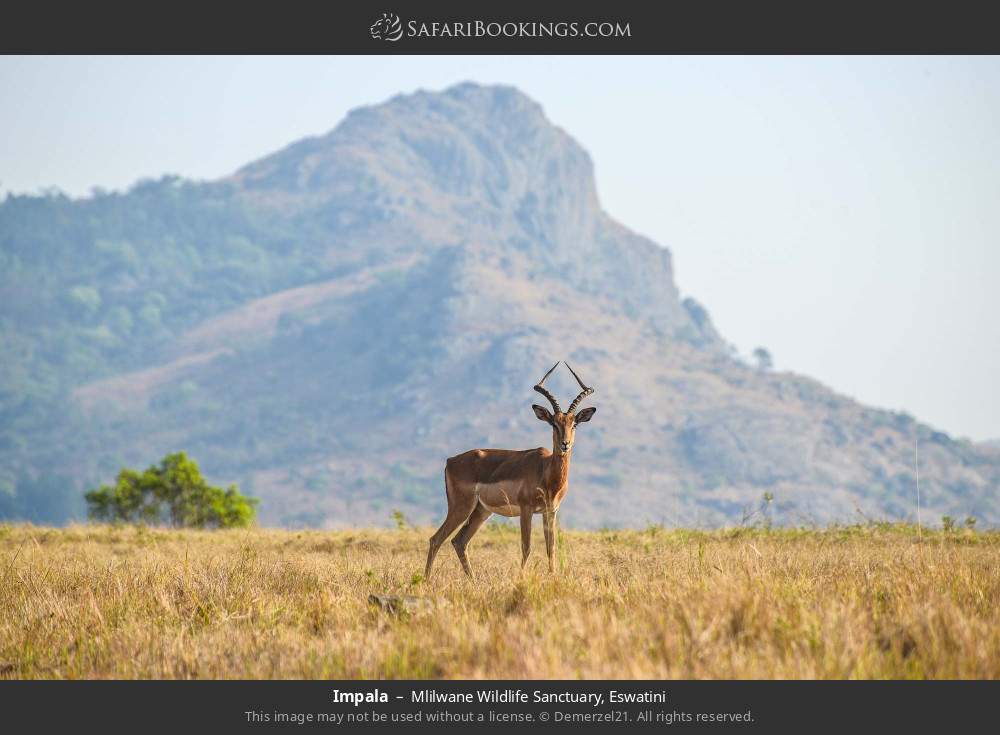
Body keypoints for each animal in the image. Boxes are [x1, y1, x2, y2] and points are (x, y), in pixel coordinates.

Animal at [425, 362, 597, 578]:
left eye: (574, 424)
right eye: (554, 424)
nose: (565, 444)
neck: (547, 472)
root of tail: (450, 461)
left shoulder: (551, 511)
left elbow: (551, 548)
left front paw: (552, 576)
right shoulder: (526, 509)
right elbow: (527, 546)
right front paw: (521, 577)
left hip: (481, 511)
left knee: (459, 541)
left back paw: (472, 580)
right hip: (461, 507)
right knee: (436, 539)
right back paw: (426, 580)